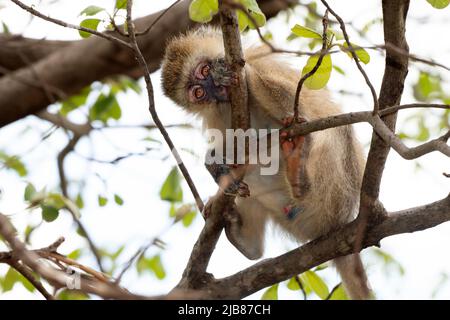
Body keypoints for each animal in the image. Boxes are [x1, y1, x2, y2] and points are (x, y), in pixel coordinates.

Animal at [160, 26, 370, 298]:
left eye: (204, 71)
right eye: (198, 93)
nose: (213, 87)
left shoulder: (266, 67)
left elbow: (301, 110)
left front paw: (242, 71)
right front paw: (216, 167)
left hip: (335, 194)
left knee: (333, 132)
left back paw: (299, 173)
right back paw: (245, 236)